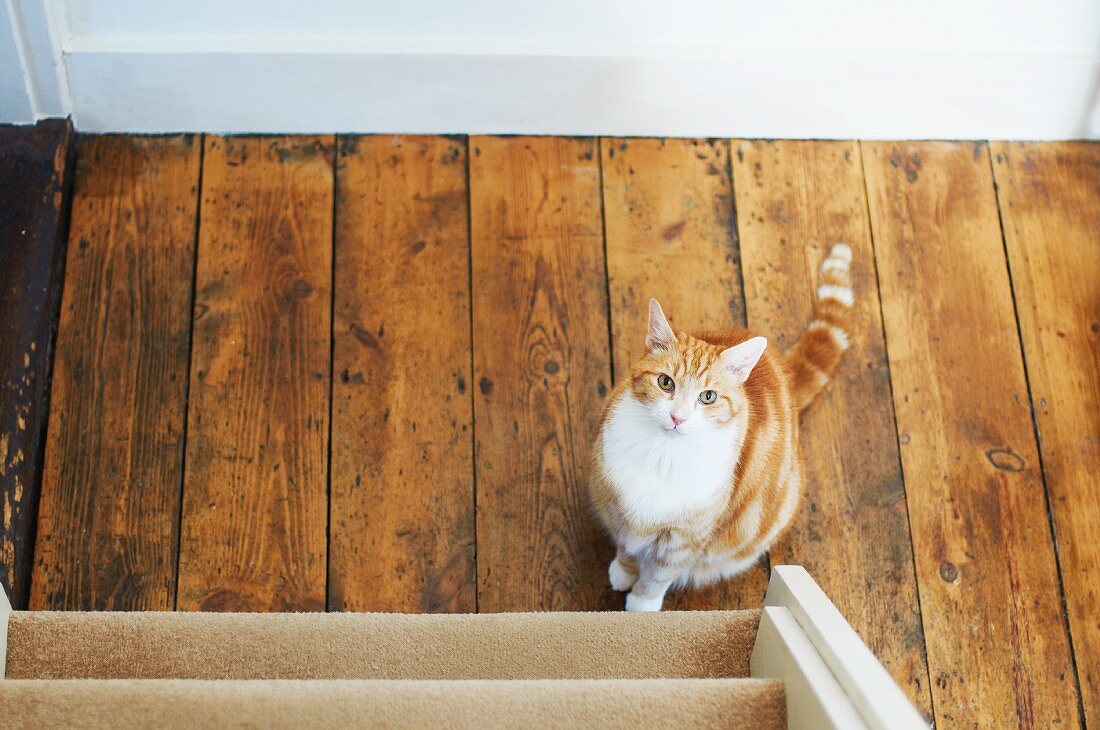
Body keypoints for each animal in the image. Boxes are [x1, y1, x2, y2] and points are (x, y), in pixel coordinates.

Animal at [589, 244, 853, 611]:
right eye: (665, 382)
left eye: (708, 397)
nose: (678, 418)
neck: (664, 454)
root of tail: (784, 372)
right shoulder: (620, 510)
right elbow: (627, 547)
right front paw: (623, 571)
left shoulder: (684, 540)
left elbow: (658, 574)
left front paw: (642, 604)